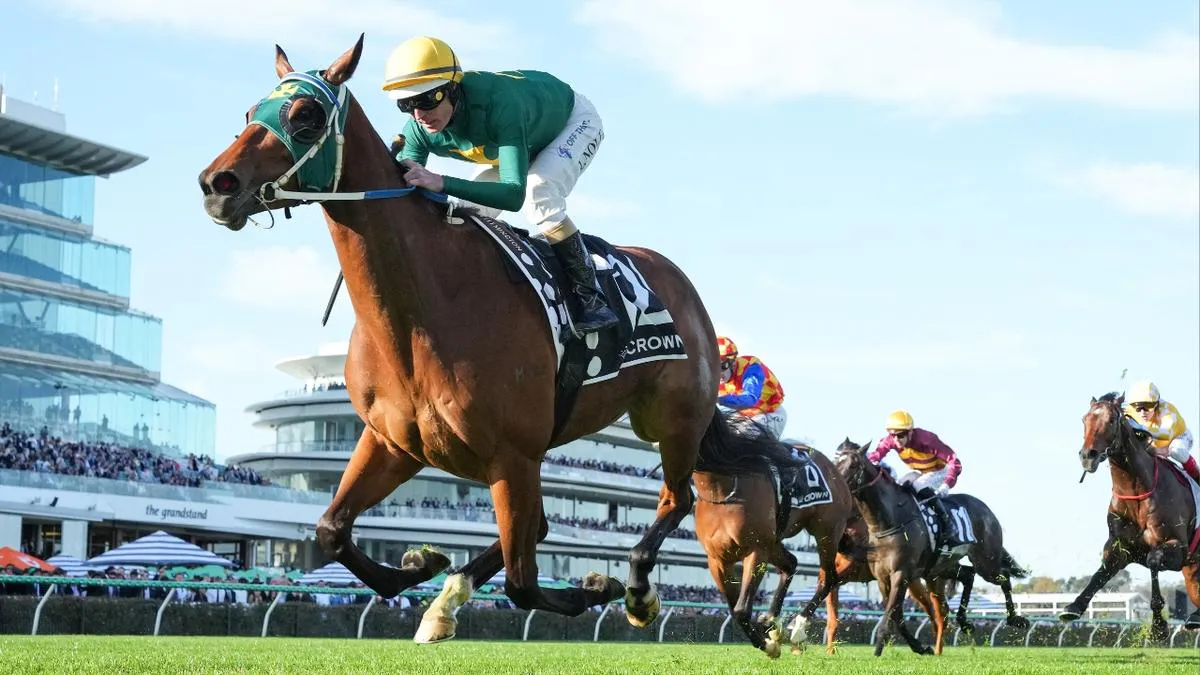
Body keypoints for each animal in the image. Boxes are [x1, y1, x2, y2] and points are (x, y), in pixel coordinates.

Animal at [196, 35, 805, 643]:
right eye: (250, 113)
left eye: (305, 116)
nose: (216, 185)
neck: (422, 312)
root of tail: (684, 287)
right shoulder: (392, 442)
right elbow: (331, 529)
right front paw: (425, 564)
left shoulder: (513, 456)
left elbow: (523, 585)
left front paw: (595, 587)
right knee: (544, 527)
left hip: (671, 421)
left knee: (673, 499)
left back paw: (637, 589)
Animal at [691, 422, 858, 658]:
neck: (721, 488)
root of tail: (836, 472)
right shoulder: (717, 559)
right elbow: (734, 608)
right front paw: (768, 635)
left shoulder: (756, 549)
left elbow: (741, 609)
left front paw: (768, 645)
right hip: (775, 543)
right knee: (791, 564)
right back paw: (771, 619)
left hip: (826, 532)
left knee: (829, 578)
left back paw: (797, 628)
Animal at [833, 438, 1030, 656]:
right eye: (834, 460)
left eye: (852, 465)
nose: (835, 484)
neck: (889, 521)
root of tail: (987, 510)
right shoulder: (882, 577)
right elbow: (896, 615)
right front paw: (920, 647)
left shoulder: (901, 573)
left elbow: (890, 614)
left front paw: (877, 652)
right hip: (940, 567)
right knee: (968, 575)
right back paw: (964, 622)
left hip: (986, 561)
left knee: (1003, 576)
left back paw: (1016, 619)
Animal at [1062, 392, 1200, 635]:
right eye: (1084, 419)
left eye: (1110, 420)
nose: (1087, 456)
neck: (1136, 491)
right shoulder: (1120, 547)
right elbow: (1100, 574)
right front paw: (1074, 606)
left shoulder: (1178, 549)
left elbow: (1153, 560)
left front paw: (1158, 625)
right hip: (1192, 573)